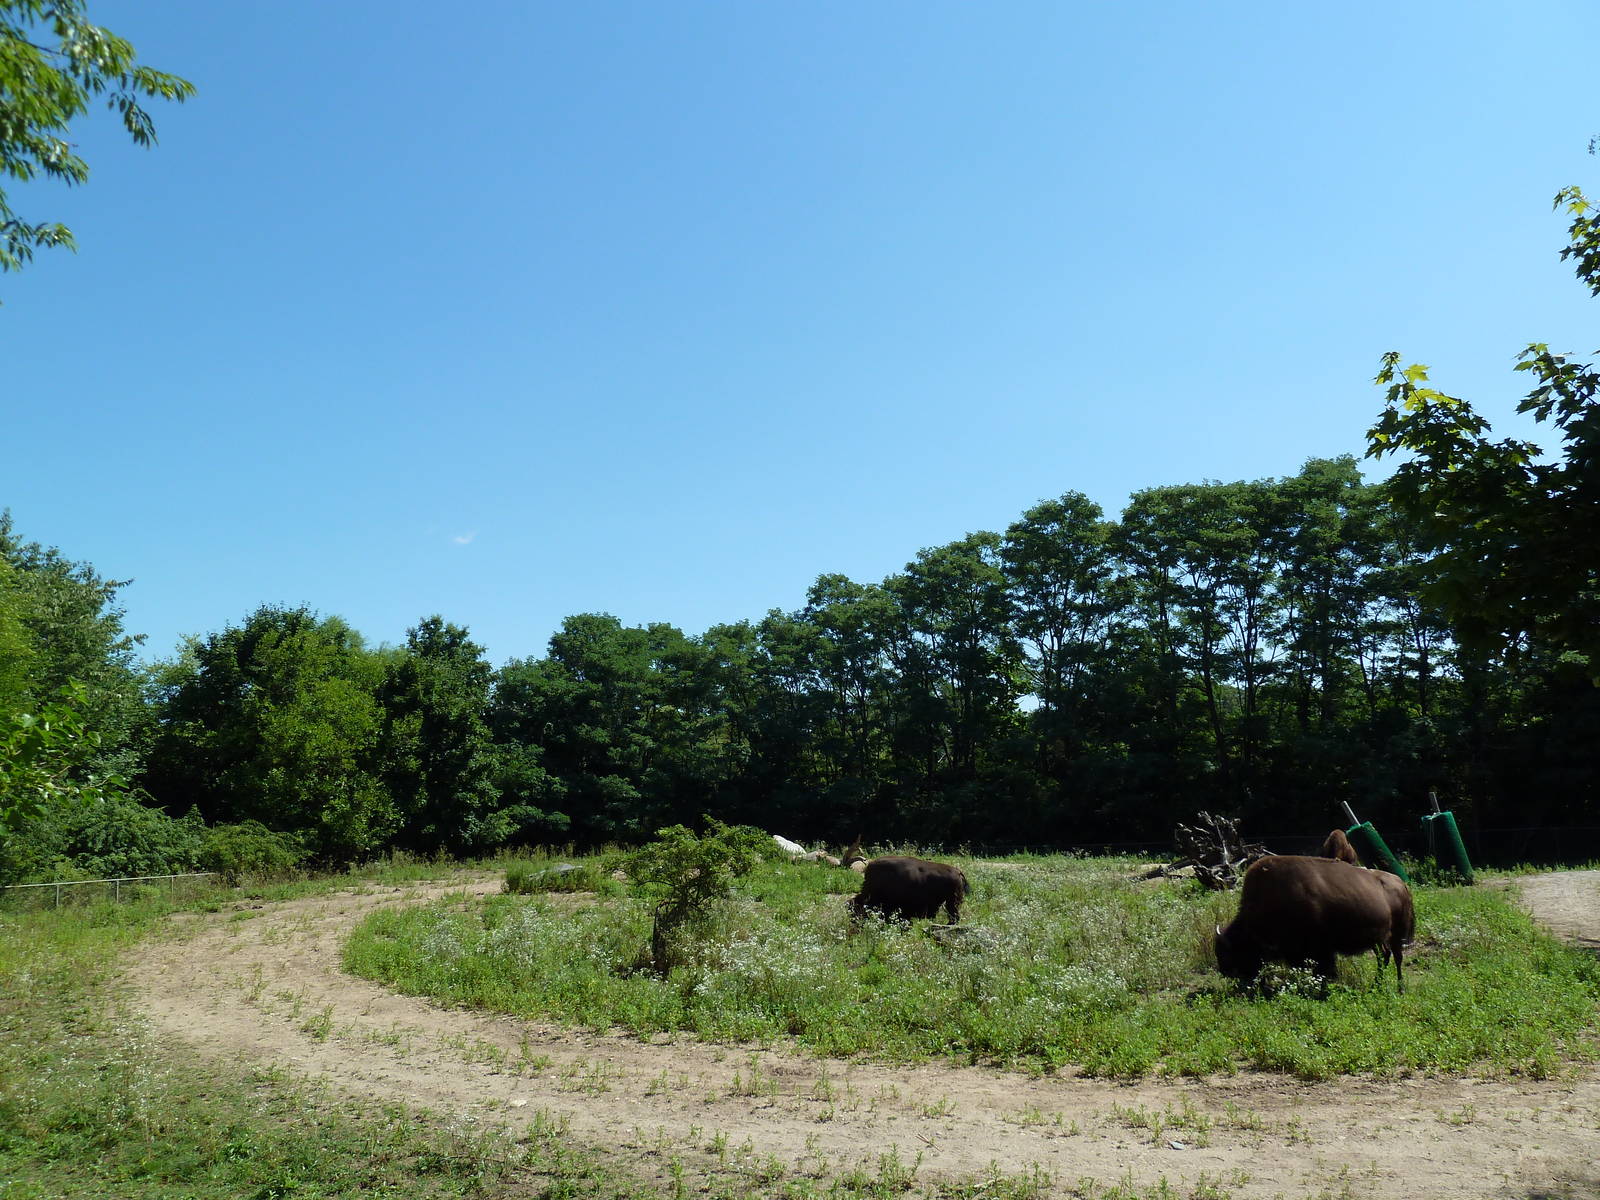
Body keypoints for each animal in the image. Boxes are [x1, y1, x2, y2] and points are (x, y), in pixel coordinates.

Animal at [1214, 855, 1414, 991]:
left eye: (1232, 951)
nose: (1225, 971)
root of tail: (1401, 884)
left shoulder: (1321, 949)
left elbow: (1324, 969)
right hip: (1378, 939)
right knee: (1384, 956)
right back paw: (1376, 986)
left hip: (1395, 935)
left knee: (1397, 958)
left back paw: (1400, 989)